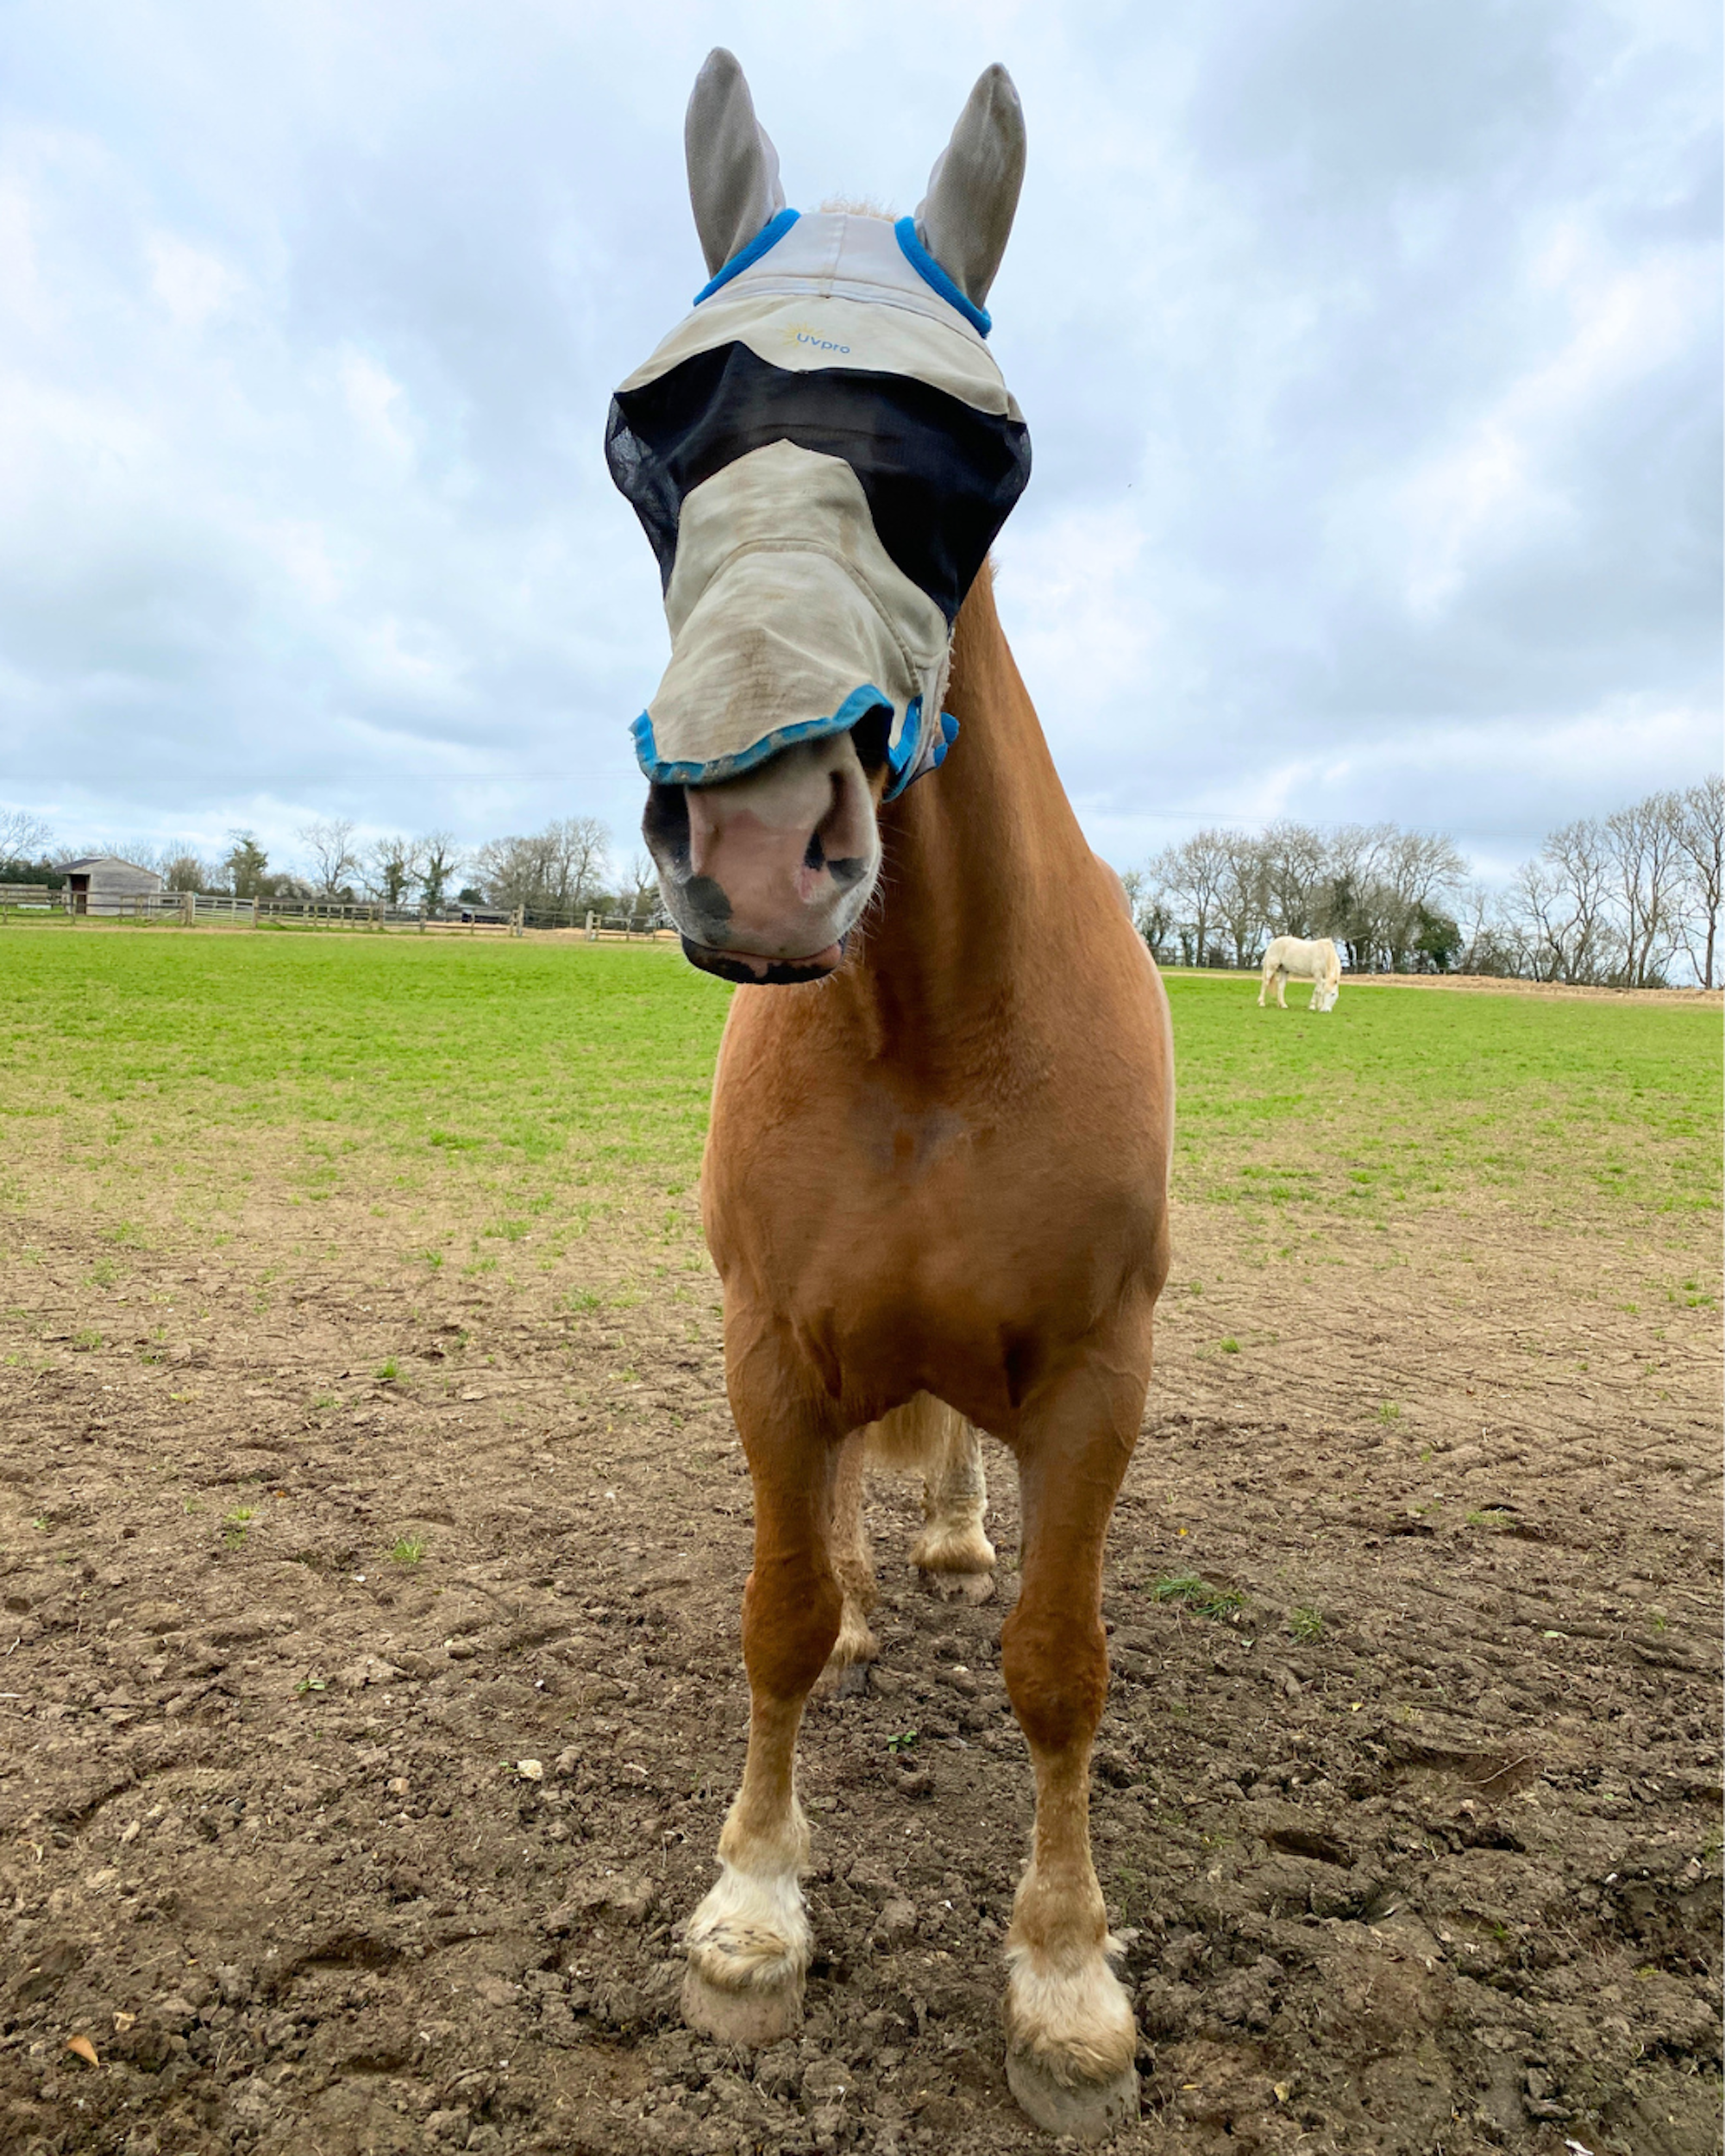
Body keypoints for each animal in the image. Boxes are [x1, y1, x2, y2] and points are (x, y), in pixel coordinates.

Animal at [608, 52, 1174, 2139]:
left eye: (980, 456)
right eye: (650, 434)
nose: (760, 843)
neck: (933, 1035)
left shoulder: (1095, 1374)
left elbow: (1059, 1666)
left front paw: (1066, 1981)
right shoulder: (772, 1345)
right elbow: (773, 1614)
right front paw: (754, 1916)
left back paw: (939, 1536)